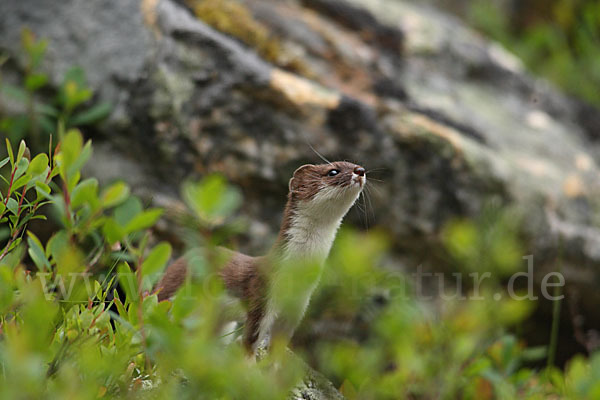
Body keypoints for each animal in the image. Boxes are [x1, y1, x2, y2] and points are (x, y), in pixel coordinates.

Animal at [155, 162, 366, 354]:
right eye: (333, 171)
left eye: (353, 164)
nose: (360, 170)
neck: (296, 274)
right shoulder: (262, 294)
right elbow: (251, 338)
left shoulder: (297, 306)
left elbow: (279, 343)